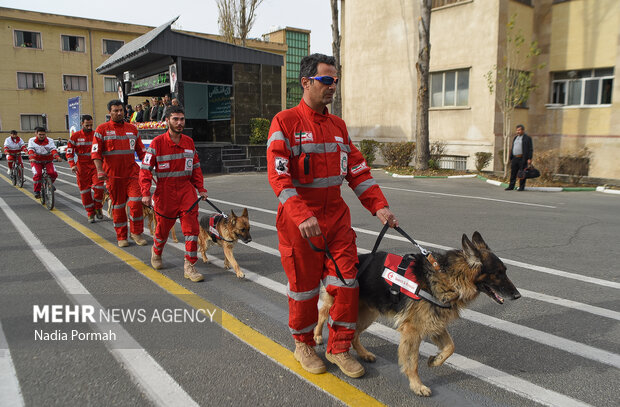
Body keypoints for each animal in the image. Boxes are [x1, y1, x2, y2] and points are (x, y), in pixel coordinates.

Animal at [312, 233, 520, 398]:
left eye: (505, 271)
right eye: (498, 273)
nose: (518, 295)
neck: (449, 277)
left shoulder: (434, 322)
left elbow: (450, 347)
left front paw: (435, 360)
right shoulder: (413, 331)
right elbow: (412, 362)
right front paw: (417, 385)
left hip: (368, 313)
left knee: (354, 334)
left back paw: (364, 354)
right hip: (341, 303)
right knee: (322, 313)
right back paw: (317, 335)